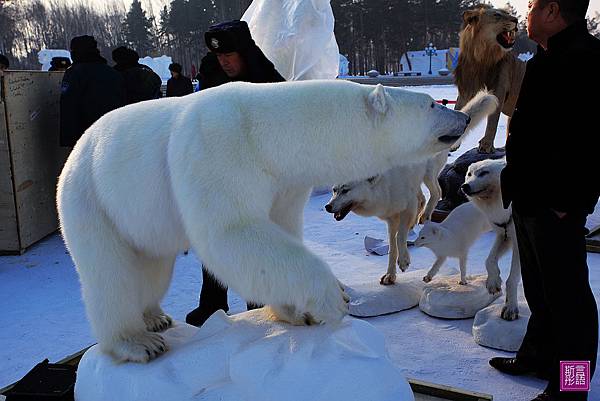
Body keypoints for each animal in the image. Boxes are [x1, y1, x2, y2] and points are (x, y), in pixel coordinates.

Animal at [57, 79, 496, 362]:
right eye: (431, 104)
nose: (461, 119)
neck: (267, 133)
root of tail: (77, 147)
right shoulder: (218, 151)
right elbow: (232, 232)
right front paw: (332, 297)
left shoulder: (283, 180)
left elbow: (280, 232)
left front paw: (298, 311)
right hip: (92, 197)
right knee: (110, 273)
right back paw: (136, 341)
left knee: (151, 263)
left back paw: (155, 316)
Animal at [454, 6, 524, 153]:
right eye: (497, 15)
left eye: (508, 13)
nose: (515, 20)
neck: (480, 58)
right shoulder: (465, 90)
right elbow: (458, 109)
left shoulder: (498, 90)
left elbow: (492, 121)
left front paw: (486, 145)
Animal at [460, 157, 520, 318]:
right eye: (469, 174)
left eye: (484, 173)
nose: (464, 186)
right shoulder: (504, 235)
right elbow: (489, 260)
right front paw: (493, 282)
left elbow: (512, 279)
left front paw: (510, 308)